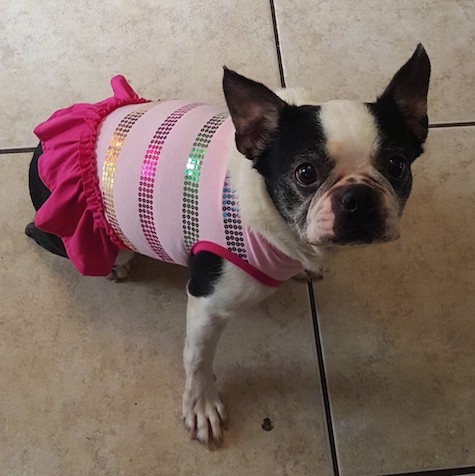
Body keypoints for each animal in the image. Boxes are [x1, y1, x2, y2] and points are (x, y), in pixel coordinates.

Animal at [27, 42, 434, 448]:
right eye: (305, 173)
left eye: (397, 166)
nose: (358, 197)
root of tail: (38, 151)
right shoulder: (208, 303)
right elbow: (197, 359)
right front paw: (201, 405)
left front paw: (305, 269)